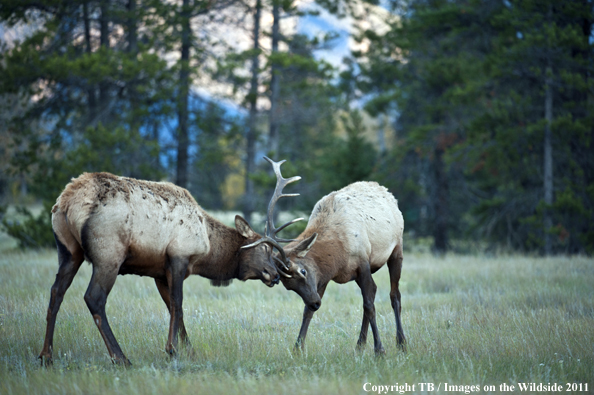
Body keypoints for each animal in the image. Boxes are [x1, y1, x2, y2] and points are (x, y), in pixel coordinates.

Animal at [38, 159, 298, 366]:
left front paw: (190, 351)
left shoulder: (159, 273)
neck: (207, 246)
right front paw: (172, 350)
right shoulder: (178, 258)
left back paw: (45, 355)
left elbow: (172, 308)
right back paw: (120, 357)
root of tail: (68, 202)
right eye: (264, 247)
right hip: (108, 254)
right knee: (94, 298)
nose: (276, 275)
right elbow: (178, 304)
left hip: (69, 251)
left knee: (56, 291)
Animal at [272, 183, 402, 356]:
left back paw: (401, 342)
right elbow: (307, 312)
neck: (338, 251)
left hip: (397, 249)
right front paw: (298, 348)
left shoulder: (363, 263)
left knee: (394, 295)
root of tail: (389, 194)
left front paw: (379, 350)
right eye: (288, 286)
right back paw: (360, 345)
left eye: (303, 271)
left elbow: (369, 306)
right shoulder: (324, 276)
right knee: (375, 291)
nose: (315, 303)